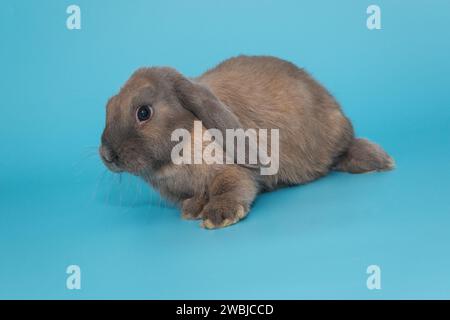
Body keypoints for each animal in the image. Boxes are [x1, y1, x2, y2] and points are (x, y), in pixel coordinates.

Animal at [99, 56, 394, 229]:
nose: (107, 154)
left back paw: (378, 160)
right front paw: (192, 210)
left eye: (144, 112)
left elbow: (230, 186)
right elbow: (198, 196)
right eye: (108, 108)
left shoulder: (232, 170)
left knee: (344, 152)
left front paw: (219, 215)